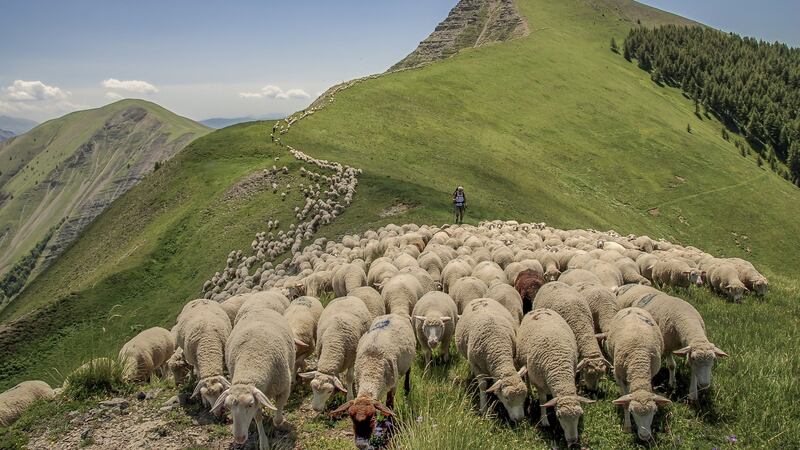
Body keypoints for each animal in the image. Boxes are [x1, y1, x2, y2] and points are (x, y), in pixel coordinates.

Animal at [211, 308, 296, 450]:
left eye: (249, 404)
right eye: (227, 406)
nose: (239, 439)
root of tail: (260, 308)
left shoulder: (284, 390)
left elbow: (277, 418)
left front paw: (282, 423)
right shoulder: (258, 396)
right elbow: (258, 417)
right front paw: (263, 442)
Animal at [330, 314, 416, 448]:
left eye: (372, 417)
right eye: (351, 418)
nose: (361, 444)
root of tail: (394, 314)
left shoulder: (393, 385)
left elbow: (389, 406)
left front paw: (388, 427)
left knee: (408, 372)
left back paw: (407, 389)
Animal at [515, 309, 594, 445]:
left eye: (580, 415)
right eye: (559, 416)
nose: (573, 441)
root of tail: (539, 309)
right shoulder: (539, 384)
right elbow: (542, 401)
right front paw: (544, 420)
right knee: (527, 378)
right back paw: (529, 391)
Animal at [605, 307, 671, 441]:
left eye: (654, 411)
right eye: (632, 412)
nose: (645, 436)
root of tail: (632, 308)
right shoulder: (620, 378)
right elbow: (625, 403)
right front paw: (627, 427)